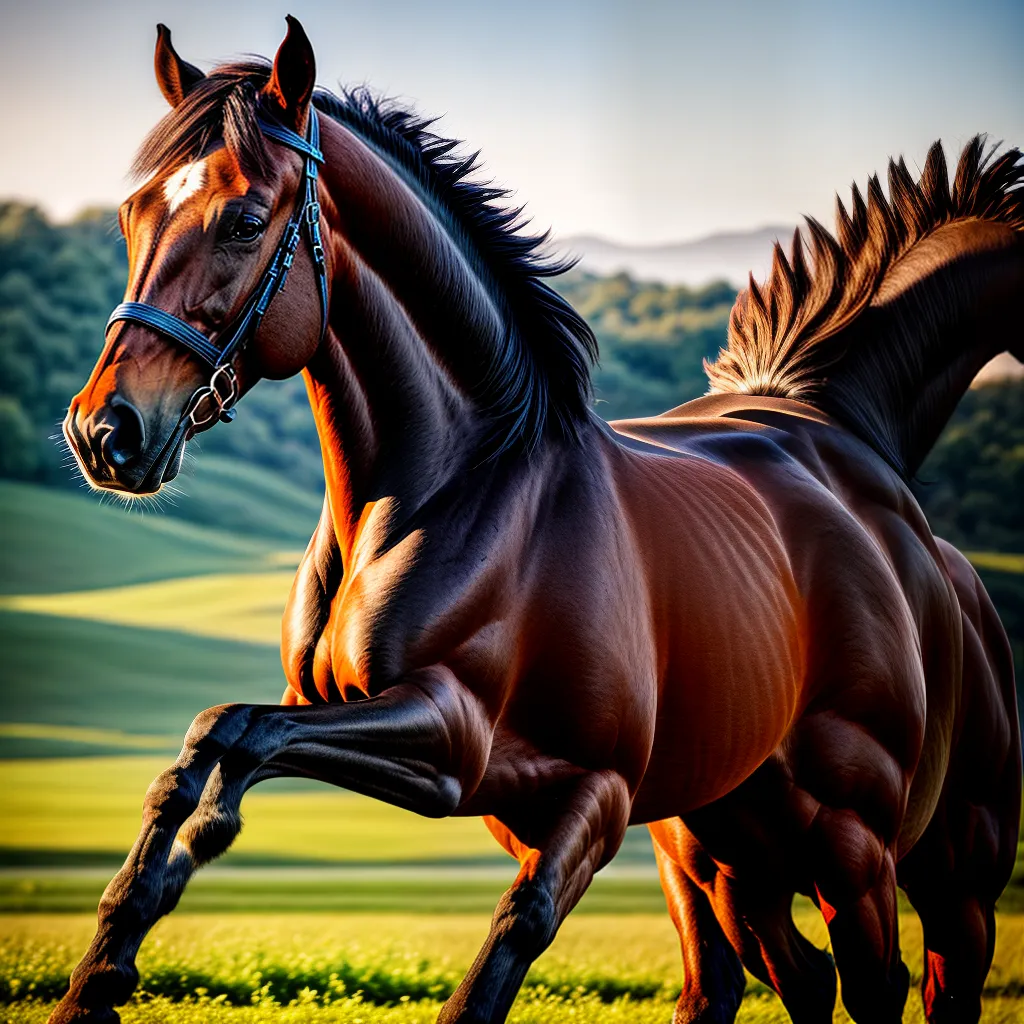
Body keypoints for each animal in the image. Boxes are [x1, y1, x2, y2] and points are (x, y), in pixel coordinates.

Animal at [53, 17, 1020, 1024]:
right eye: (131, 214)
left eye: (245, 220)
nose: (104, 432)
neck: (460, 491)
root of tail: (848, 436)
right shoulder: (422, 752)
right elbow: (209, 744)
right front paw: (103, 966)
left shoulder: (484, 752)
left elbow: (253, 744)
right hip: (725, 854)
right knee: (775, 980)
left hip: (890, 856)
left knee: (902, 979)